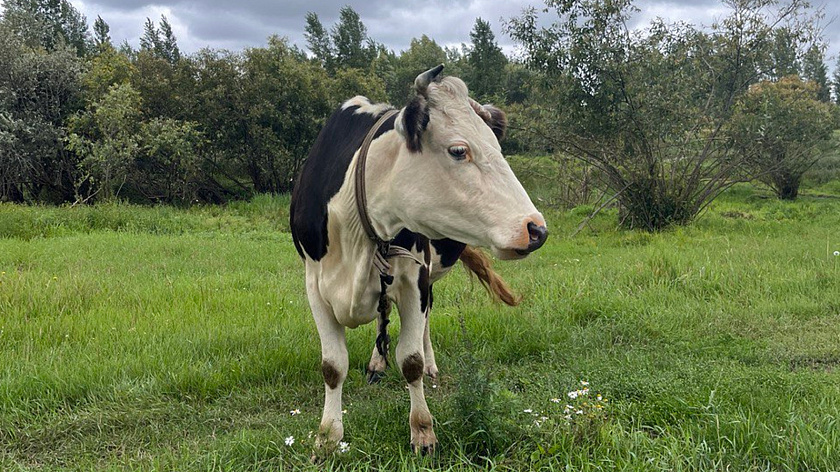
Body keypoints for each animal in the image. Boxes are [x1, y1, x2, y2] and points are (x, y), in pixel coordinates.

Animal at [292, 65, 548, 454]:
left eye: (498, 148)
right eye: (458, 150)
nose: (536, 229)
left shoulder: (415, 279)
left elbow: (409, 360)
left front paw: (423, 431)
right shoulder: (314, 284)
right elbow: (333, 366)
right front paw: (327, 437)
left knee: (423, 322)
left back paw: (429, 363)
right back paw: (376, 363)